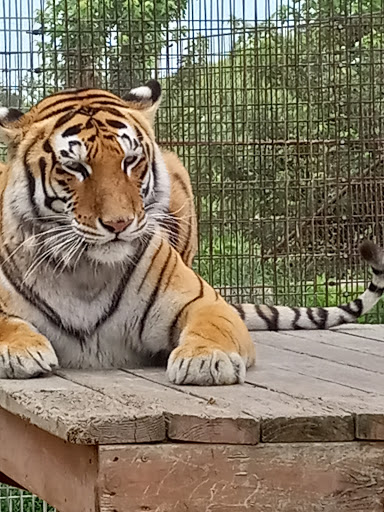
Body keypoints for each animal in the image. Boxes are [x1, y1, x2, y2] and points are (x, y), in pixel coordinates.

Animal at [0, 79, 382, 384]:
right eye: (75, 167)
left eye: (129, 160)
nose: (119, 223)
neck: (86, 274)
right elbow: (8, 323)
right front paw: (20, 352)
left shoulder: (204, 301)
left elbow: (212, 325)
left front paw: (206, 359)